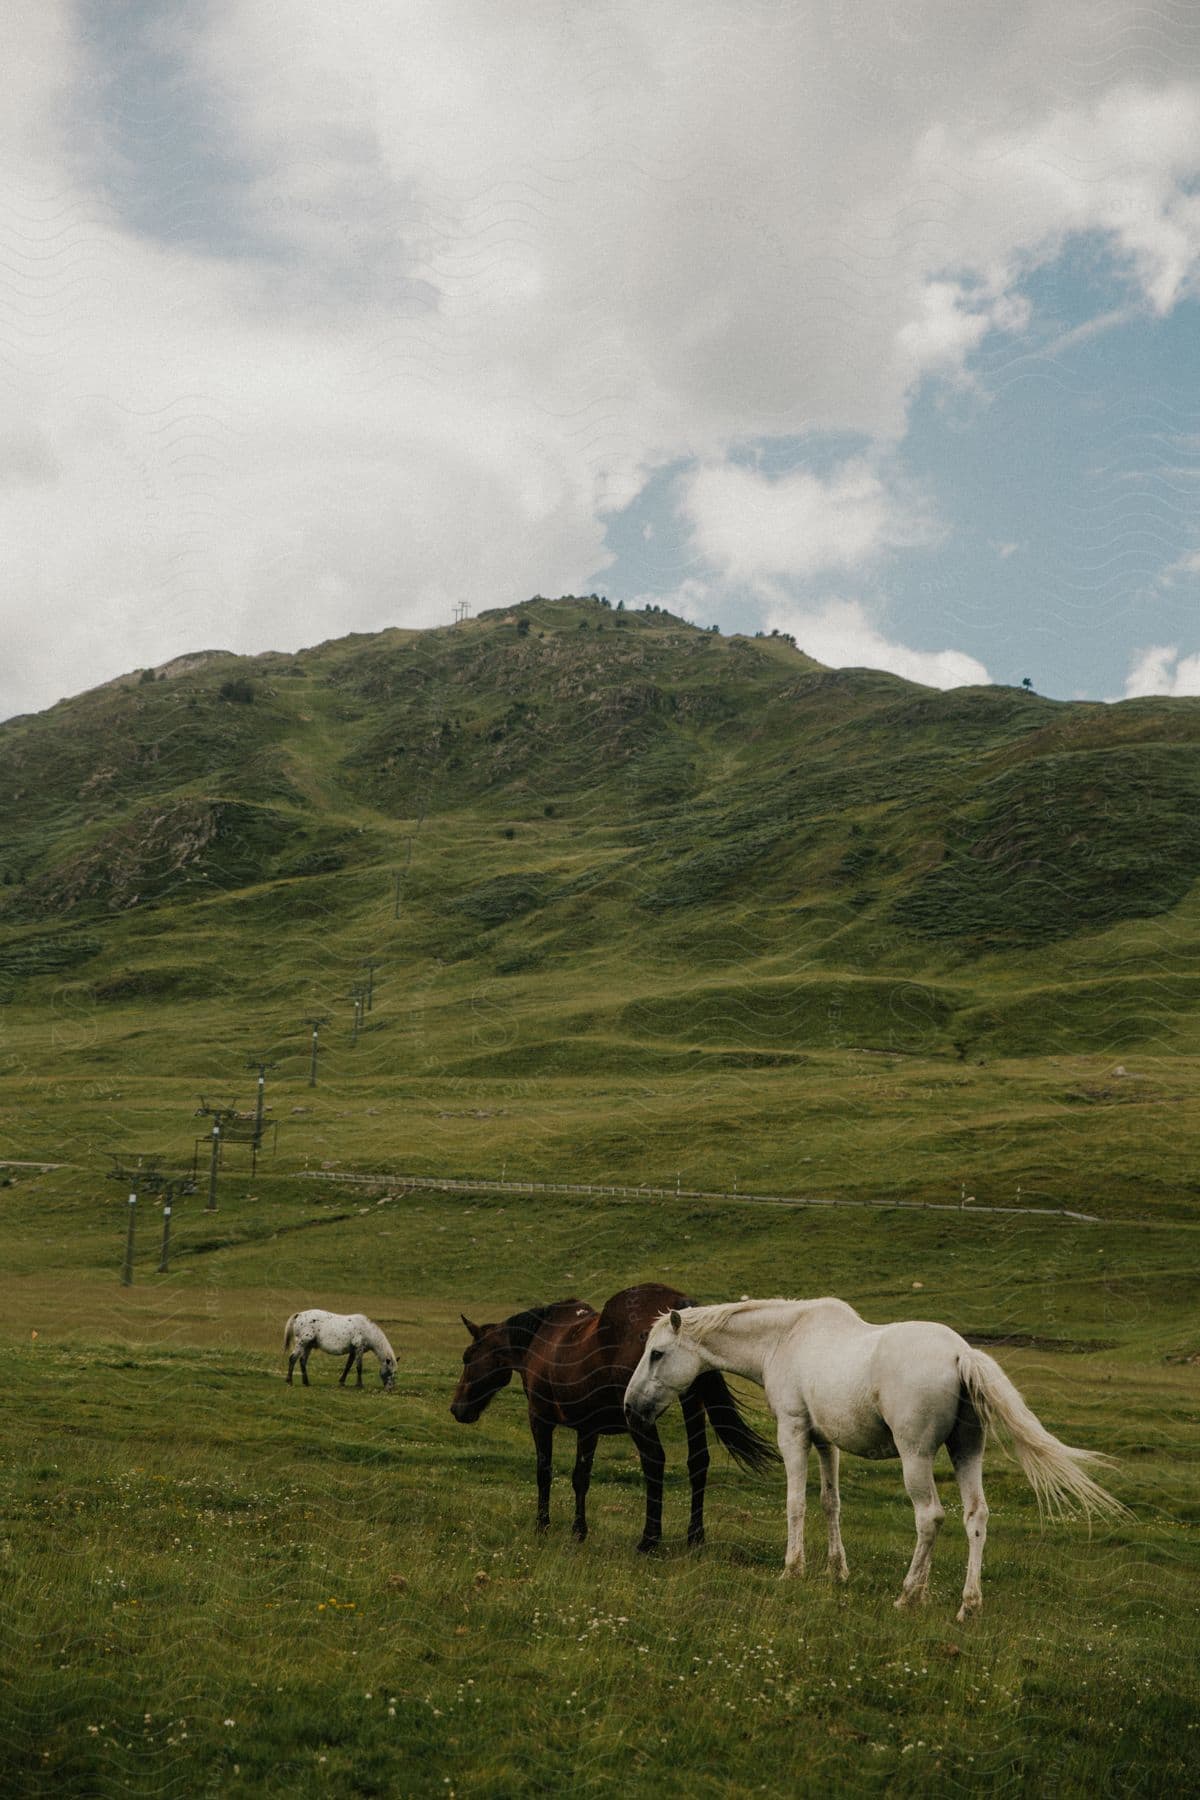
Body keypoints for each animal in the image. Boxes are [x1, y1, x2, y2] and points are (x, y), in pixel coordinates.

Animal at [449, 1281, 780, 1548]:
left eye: (468, 1357)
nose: (457, 1408)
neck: (539, 1341)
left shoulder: (540, 1419)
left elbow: (544, 1472)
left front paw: (542, 1526)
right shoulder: (587, 1428)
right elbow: (581, 1478)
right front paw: (578, 1531)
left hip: (640, 1415)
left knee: (654, 1461)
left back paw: (649, 1539)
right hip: (691, 1402)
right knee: (698, 1462)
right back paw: (694, 1537)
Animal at [629, 1296, 1129, 1620]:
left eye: (657, 1353)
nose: (631, 1405)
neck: (786, 1336)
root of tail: (961, 1354)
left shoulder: (794, 1432)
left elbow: (796, 1503)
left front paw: (793, 1570)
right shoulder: (825, 1441)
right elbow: (830, 1504)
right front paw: (837, 1572)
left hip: (916, 1457)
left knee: (930, 1517)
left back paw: (909, 1595)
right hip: (966, 1451)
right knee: (975, 1516)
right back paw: (966, 1604)